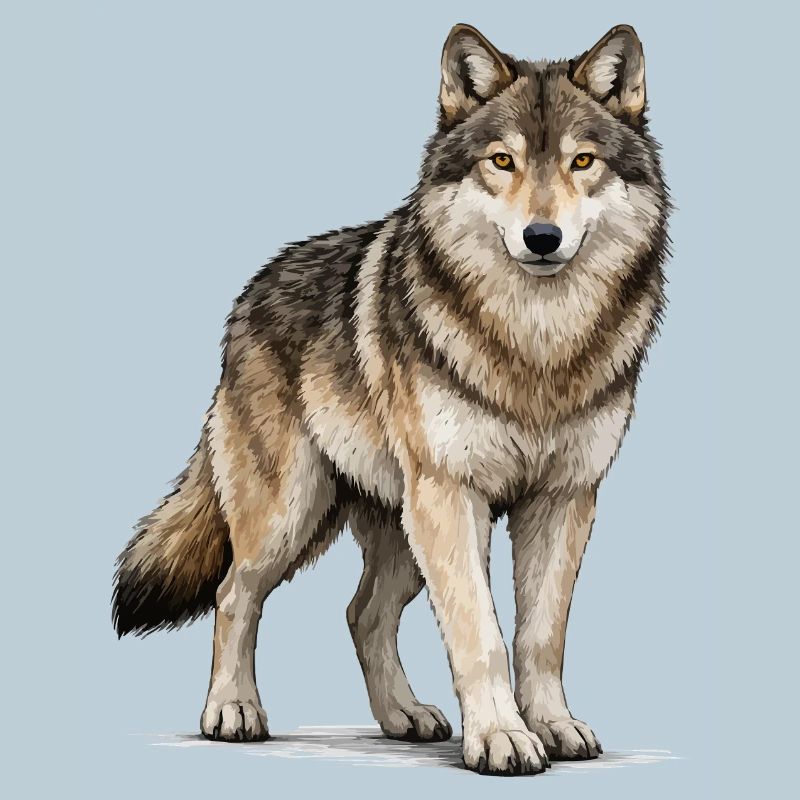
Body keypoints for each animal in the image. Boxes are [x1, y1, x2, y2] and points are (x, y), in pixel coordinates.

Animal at [113, 23, 669, 775]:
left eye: (582, 161)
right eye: (502, 161)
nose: (542, 238)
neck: (535, 344)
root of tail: (250, 292)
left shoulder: (564, 499)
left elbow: (539, 636)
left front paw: (552, 725)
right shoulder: (452, 495)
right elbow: (482, 635)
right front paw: (501, 737)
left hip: (401, 529)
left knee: (362, 613)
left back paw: (403, 715)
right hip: (295, 514)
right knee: (235, 593)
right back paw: (232, 711)